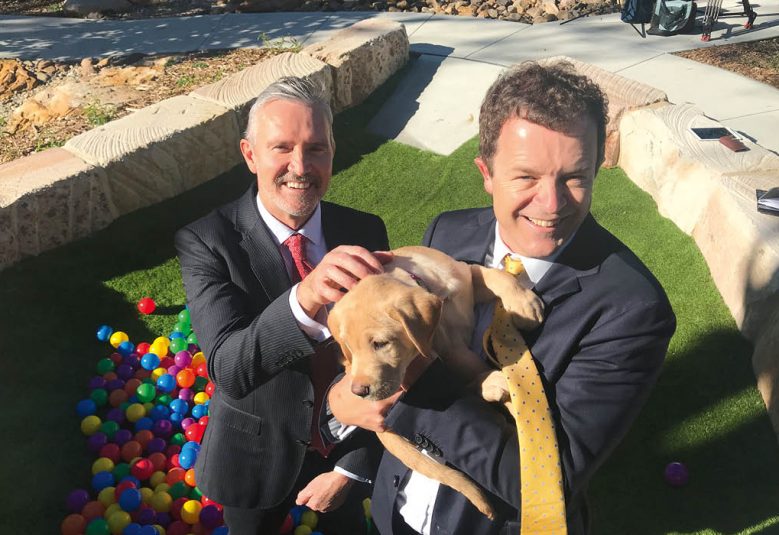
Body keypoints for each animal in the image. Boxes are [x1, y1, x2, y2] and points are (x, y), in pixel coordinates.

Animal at [328, 246, 544, 520]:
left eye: (380, 343)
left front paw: (524, 305)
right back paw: (492, 385)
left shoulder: (467, 275)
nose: (358, 391)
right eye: (350, 350)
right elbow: (469, 368)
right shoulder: (448, 348)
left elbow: (496, 275)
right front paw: (492, 380)